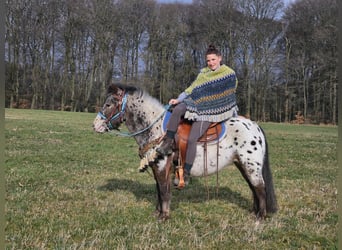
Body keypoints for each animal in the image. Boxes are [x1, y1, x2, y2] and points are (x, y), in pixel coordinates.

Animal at [93, 83, 278, 221]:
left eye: (108, 104)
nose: (95, 125)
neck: (157, 129)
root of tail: (255, 126)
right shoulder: (157, 167)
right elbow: (159, 190)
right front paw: (158, 213)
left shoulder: (162, 166)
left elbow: (164, 191)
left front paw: (164, 216)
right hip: (242, 164)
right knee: (254, 188)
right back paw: (255, 212)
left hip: (251, 165)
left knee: (260, 188)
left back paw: (260, 217)